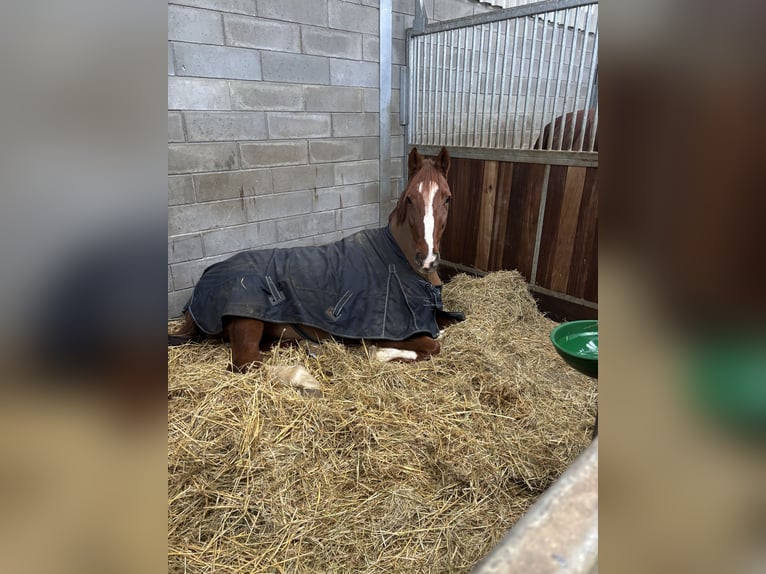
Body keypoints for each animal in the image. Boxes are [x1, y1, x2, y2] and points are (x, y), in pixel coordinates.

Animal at [168, 147, 463, 396]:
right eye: (410, 199)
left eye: (448, 198)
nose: (428, 259)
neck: (398, 260)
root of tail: (204, 280)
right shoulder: (386, 331)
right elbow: (432, 344)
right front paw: (379, 354)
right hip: (247, 319)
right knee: (247, 363)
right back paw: (304, 378)